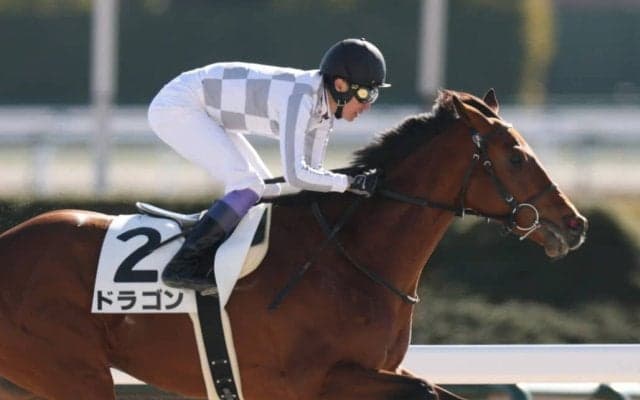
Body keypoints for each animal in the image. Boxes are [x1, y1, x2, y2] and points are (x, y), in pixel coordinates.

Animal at [0, 89, 587, 400]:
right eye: (516, 157)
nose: (575, 223)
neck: (353, 256)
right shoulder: (318, 380)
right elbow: (425, 389)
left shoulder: (376, 372)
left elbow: (435, 389)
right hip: (71, 372)